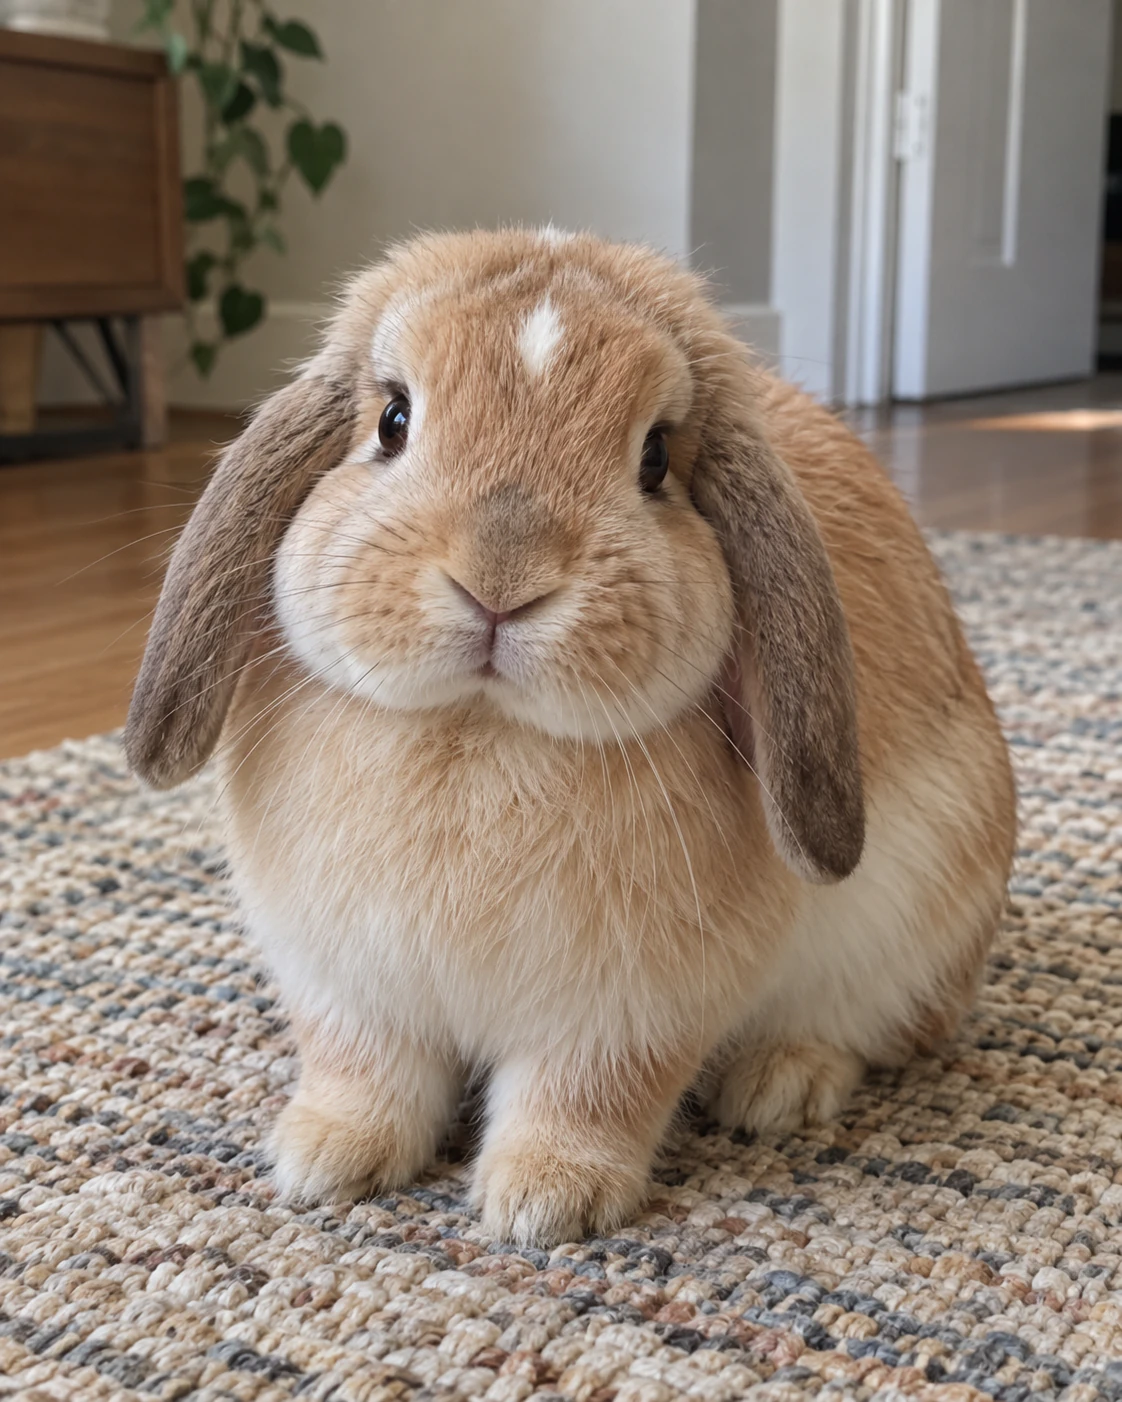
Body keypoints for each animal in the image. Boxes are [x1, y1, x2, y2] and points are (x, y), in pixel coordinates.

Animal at [126, 228, 1016, 1248]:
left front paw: (544, 1204)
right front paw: (324, 1160)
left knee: (871, 1026)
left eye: (657, 458)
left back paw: (779, 1088)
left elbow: (589, 1097)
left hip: (917, 933)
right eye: (392, 420)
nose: (500, 578)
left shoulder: (625, 1015)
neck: (479, 729)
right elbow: (363, 1070)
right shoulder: (345, 983)